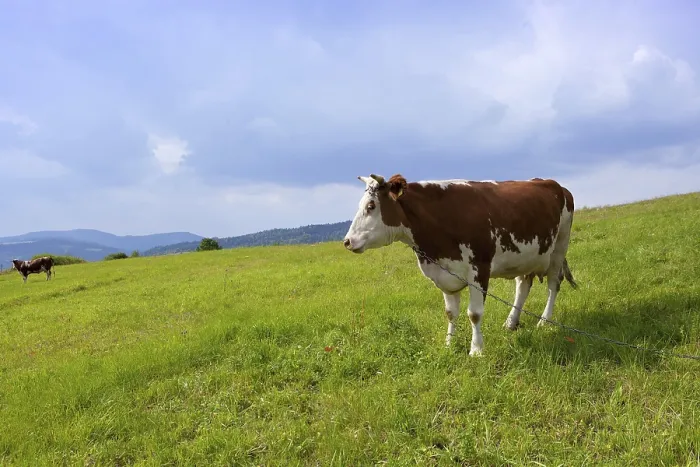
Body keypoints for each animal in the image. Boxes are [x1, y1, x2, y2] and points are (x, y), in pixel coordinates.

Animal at [342, 173, 578, 356]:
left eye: (371, 206)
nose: (347, 241)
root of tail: (556, 185)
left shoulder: (479, 270)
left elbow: (474, 313)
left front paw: (476, 350)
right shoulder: (444, 272)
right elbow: (450, 313)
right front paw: (449, 344)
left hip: (559, 246)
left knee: (553, 284)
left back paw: (544, 321)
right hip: (527, 255)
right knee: (523, 285)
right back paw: (511, 322)